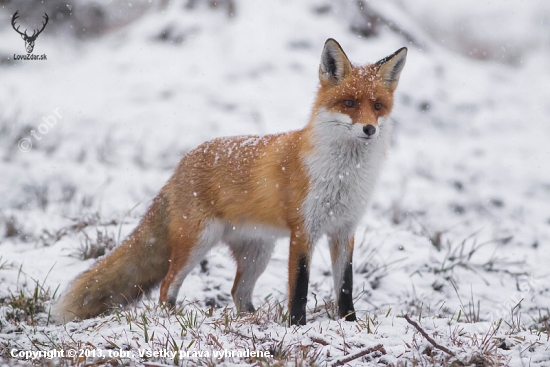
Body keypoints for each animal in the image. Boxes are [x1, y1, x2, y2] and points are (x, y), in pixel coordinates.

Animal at [55, 39, 406, 328]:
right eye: (349, 103)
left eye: (377, 106)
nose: (369, 129)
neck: (343, 176)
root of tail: (179, 167)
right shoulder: (303, 231)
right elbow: (300, 289)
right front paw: (297, 328)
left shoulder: (344, 230)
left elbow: (345, 286)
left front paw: (350, 323)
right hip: (198, 242)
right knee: (167, 286)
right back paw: (174, 320)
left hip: (257, 253)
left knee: (238, 292)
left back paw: (251, 321)